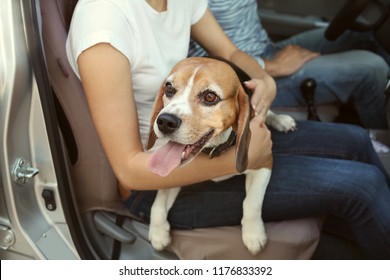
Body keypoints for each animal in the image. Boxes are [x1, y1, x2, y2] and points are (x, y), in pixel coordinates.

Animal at [146, 55, 296, 255]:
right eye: (169, 89)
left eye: (210, 96)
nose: (164, 122)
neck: (214, 148)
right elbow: (159, 200)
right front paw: (158, 232)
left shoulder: (264, 162)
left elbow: (251, 203)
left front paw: (253, 235)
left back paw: (280, 120)